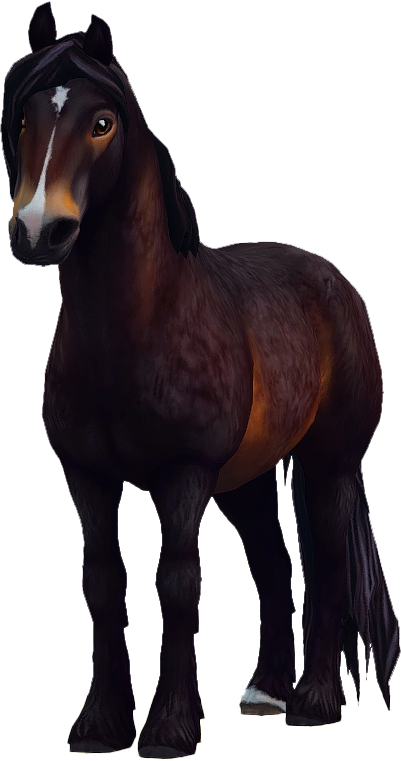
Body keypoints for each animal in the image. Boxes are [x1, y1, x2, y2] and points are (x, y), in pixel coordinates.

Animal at [2, 2, 400, 757]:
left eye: (103, 122)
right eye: (23, 119)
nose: (39, 231)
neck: (138, 325)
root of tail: (335, 281)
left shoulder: (182, 474)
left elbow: (176, 584)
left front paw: (168, 727)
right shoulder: (85, 476)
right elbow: (103, 581)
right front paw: (99, 723)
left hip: (329, 461)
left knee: (329, 565)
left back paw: (313, 702)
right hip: (245, 480)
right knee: (274, 565)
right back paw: (265, 691)